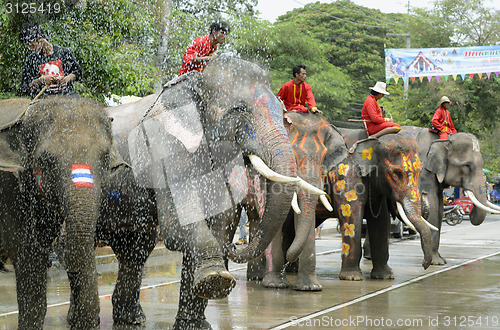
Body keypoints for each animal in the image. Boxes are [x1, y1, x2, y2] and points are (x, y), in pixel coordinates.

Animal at [105, 55, 324, 328]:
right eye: (238, 110)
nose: (236, 246)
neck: (195, 83)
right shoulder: (163, 149)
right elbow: (177, 226)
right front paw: (217, 280)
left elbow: (218, 224)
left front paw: (195, 323)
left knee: (135, 248)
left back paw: (132, 319)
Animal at [396, 127, 498, 266]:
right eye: (467, 165)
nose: (468, 210)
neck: (443, 140)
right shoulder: (423, 171)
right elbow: (432, 204)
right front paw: (436, 262)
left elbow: (439, 208)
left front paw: (441, 261)